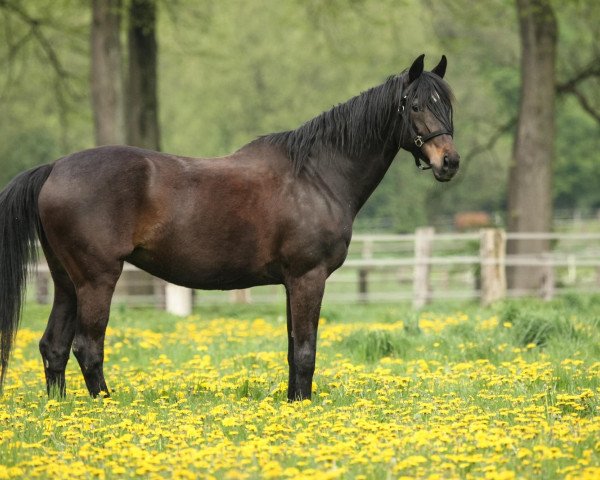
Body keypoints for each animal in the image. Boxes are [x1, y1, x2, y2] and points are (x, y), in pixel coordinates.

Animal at [0, 54, 460, 402]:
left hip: (67, 282)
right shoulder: (308, 277)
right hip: (97, 280)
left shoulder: (291, 283)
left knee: (54, 347)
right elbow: (306, 351)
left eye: (448, 105)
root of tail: (54, 168)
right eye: (414, 105)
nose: (449, 162)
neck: (315, 175)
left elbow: (293, 350)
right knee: (88, 348)